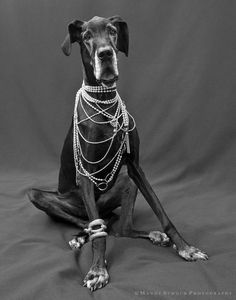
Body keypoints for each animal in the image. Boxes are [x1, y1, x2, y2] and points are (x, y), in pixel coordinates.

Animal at [28, 15, 208, 290]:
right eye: (87, 36)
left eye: (112, 31)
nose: (105, 53)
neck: (105, 105)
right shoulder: (86, 176)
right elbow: (99, 235)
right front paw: (97, 270)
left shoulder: (135, 167)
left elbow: (161, 210)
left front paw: (185, 247)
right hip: (42, 197)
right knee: (92, 224)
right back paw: (81, 236)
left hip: (126, 185)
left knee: (120, 228)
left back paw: (153, 234)